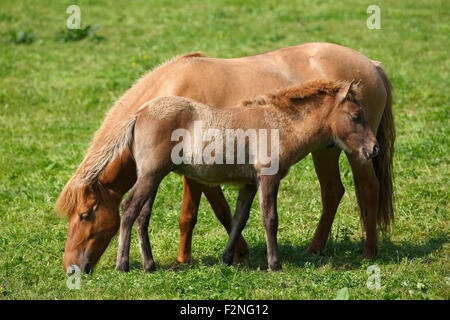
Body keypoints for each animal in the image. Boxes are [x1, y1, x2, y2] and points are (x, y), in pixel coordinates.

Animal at [110, 79, 378, 272]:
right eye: (356, 116)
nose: (373, 149)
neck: (279, 124)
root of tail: (139, 113)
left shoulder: (249, 185)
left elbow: (240, 218)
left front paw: (227, 258)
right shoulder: (268, 177)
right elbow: (270, 219)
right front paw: (274, 265)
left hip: (153, 177)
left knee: (143, 215)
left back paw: (149, 265)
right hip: (151, 175)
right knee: (129, 207)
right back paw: (122, 264)